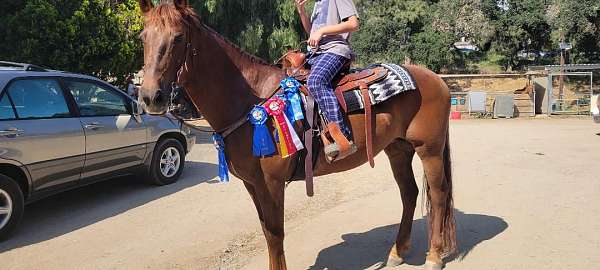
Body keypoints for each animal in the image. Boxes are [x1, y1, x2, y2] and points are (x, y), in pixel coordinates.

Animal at [136, 1, 454, 268]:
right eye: (143, 37)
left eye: (178, 37)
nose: (151, 96)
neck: (250, 101)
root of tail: (437, 80)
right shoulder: (252, 184)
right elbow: (267, 231)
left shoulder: (272, 183)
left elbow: (275, 234)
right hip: (398, 149)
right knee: (409, 193)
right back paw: (398, 251)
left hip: (429, 150)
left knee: (438, 194)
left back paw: (435, 255)